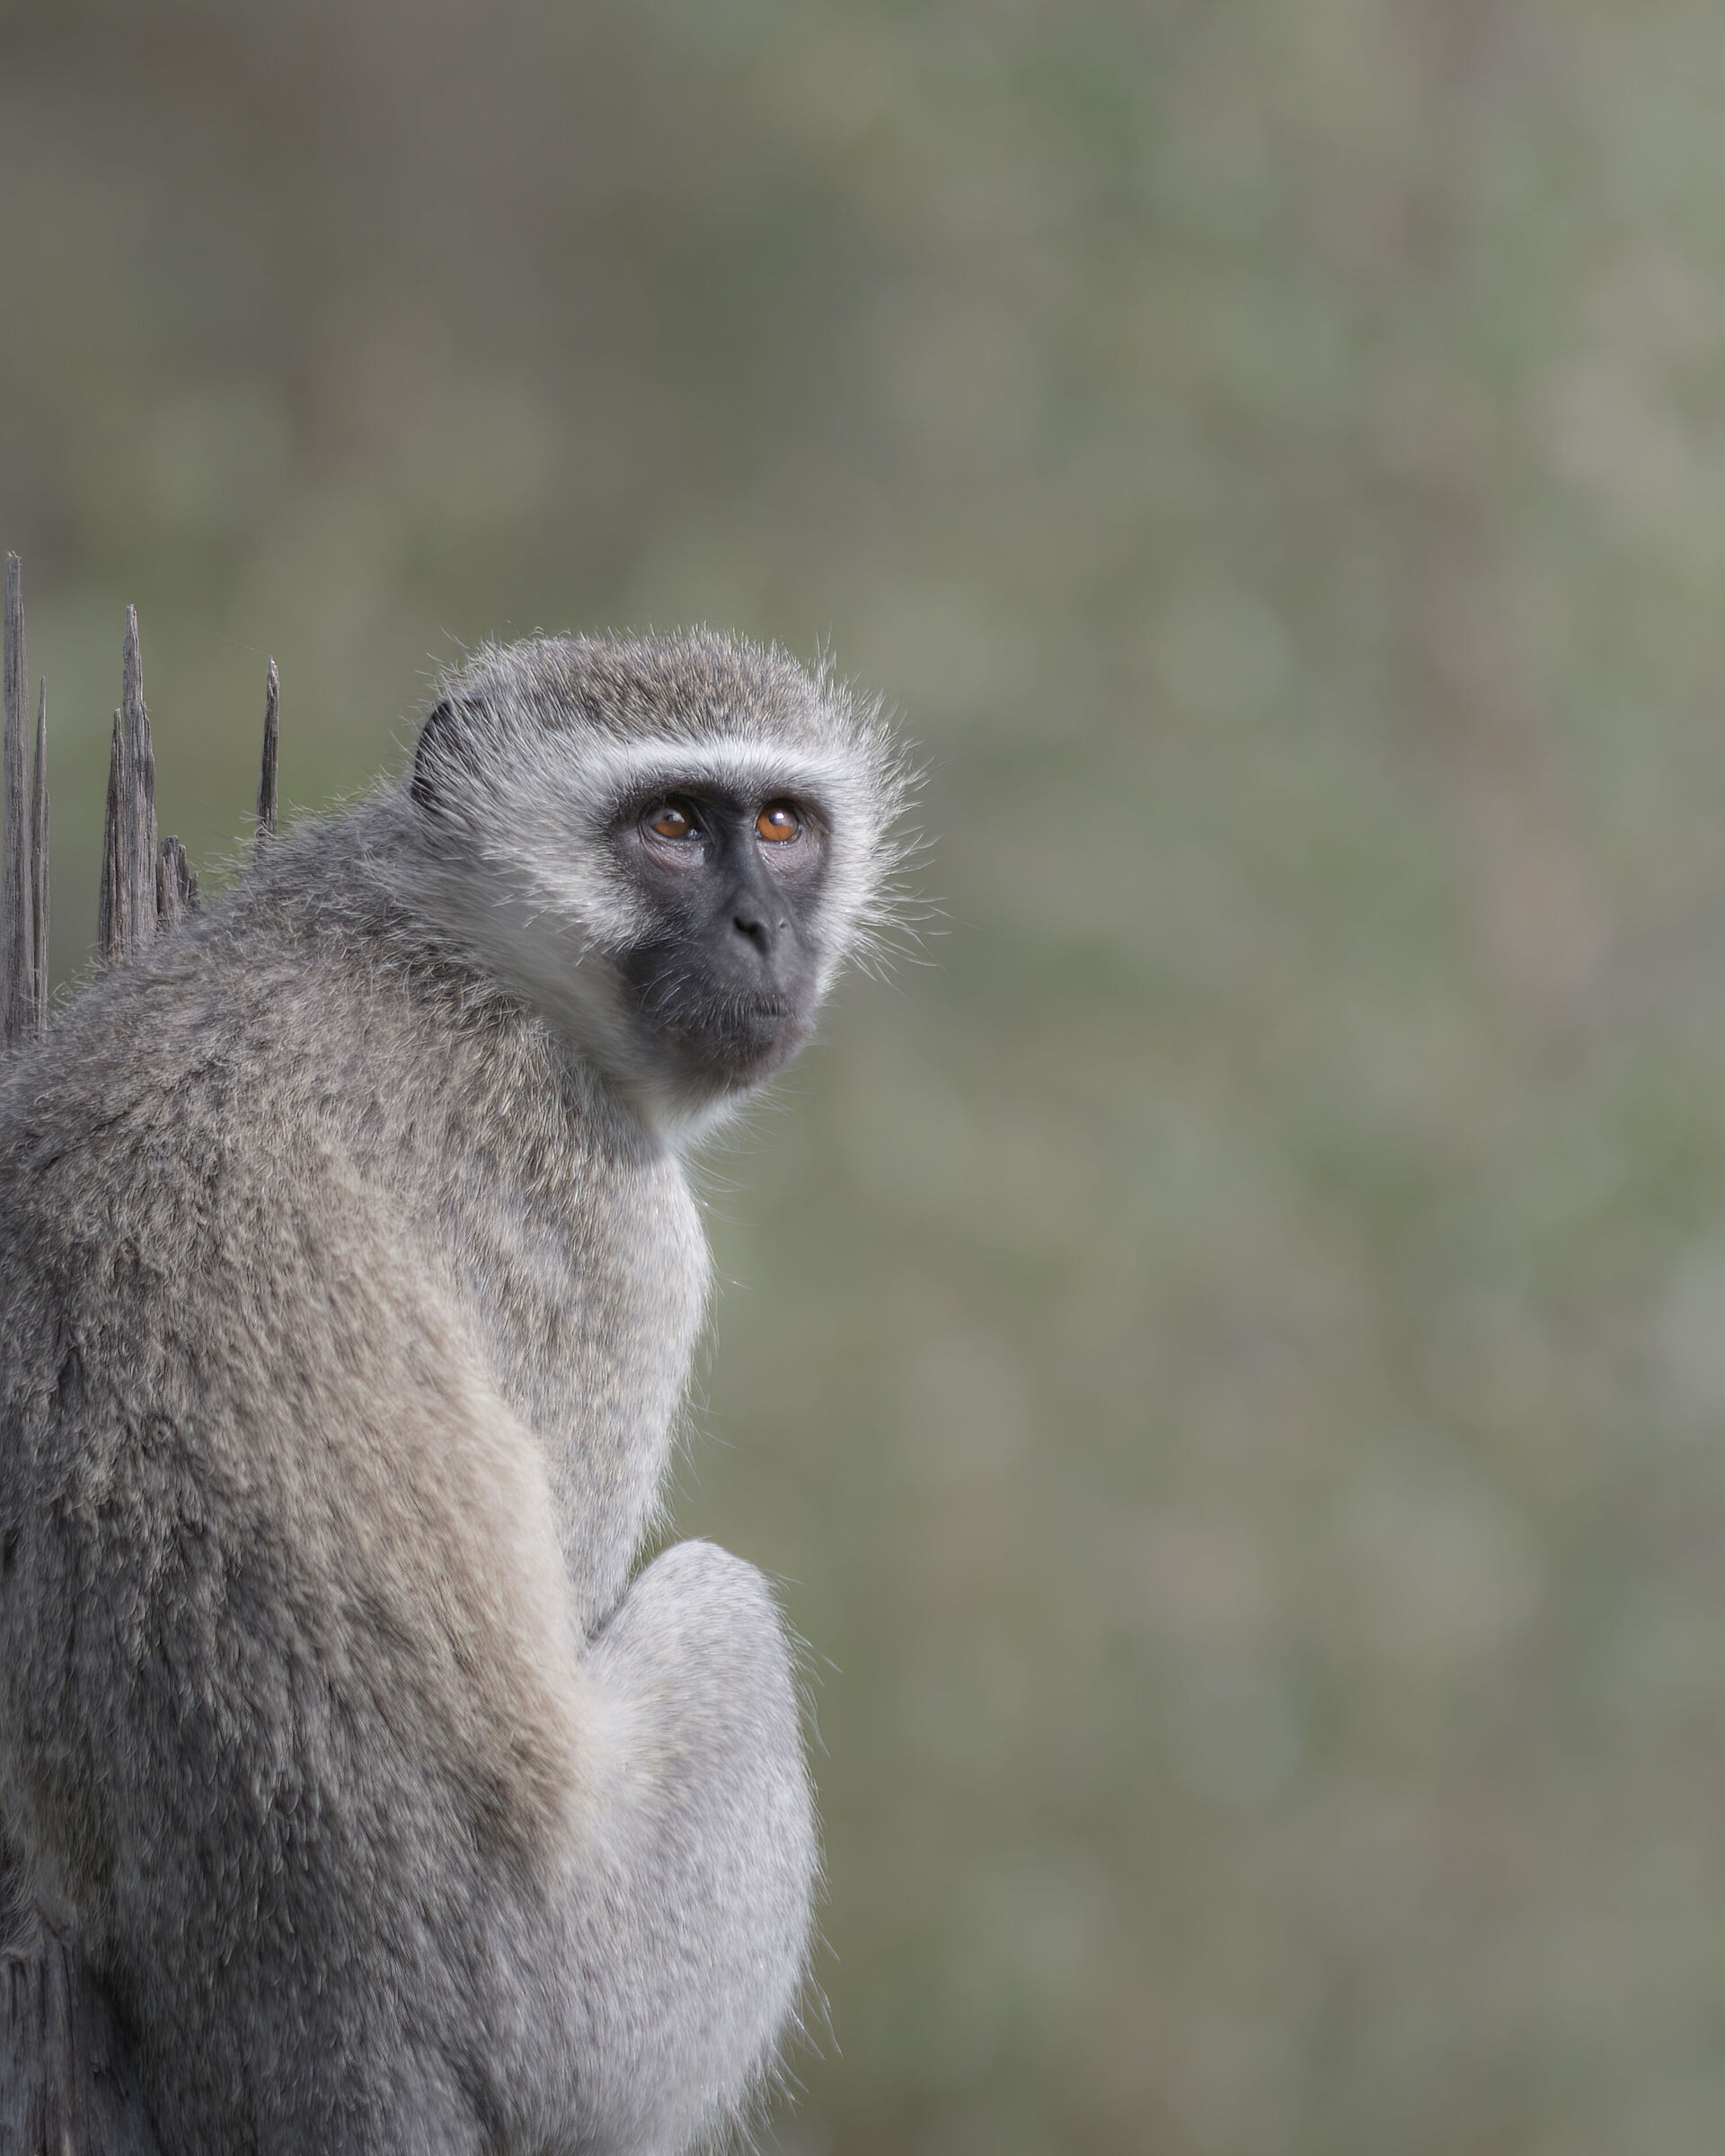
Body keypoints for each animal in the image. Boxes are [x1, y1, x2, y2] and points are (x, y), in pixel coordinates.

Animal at [0, 630, 911, 2156]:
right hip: (595, 2019)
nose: (762, 936)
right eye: (673, 827)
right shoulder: (610, 1219)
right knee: (721, 1602)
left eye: (782, 828)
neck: (445, 941)